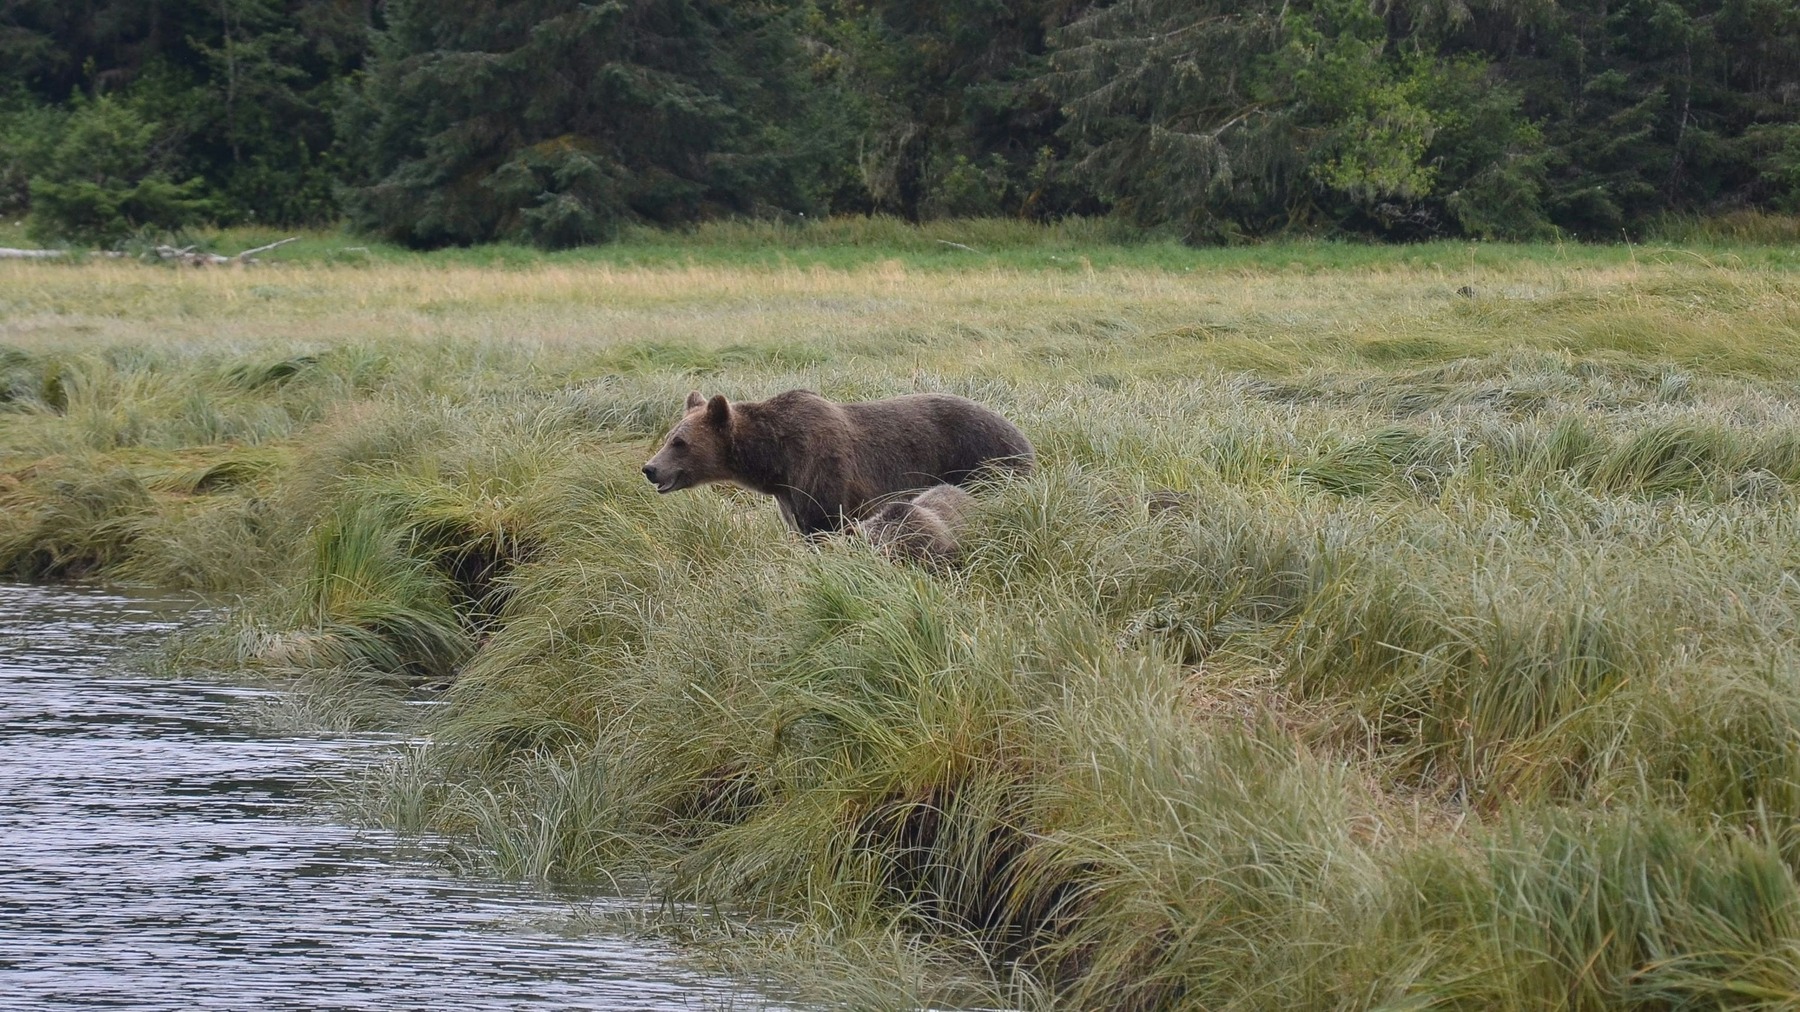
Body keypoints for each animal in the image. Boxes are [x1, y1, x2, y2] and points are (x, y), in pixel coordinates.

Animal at [642, 389, 1033, 536]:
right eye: (669, 437)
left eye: (679, 442)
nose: (650, 468)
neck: (774, 463)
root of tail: (1023, 437)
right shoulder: (790, 496)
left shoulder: (822, 475)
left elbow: (826, 525)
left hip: (985, 463)